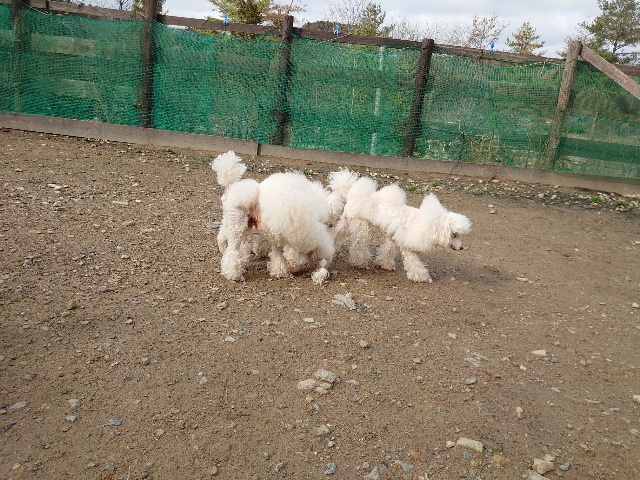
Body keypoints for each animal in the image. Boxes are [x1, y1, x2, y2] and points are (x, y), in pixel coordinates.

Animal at [211, 152, 357, 284]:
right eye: (329, 224)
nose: (331, 225)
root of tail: (231, 187)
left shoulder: (277, 233)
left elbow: (277, 253)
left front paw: (280, 271)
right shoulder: (297, 234)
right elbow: (294, 256)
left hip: (238, 222)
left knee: (225, 237)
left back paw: (226, 250)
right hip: (238, 225)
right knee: (232, 250)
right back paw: (234, 274)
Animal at [337, 176, 472, 282]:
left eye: (459, 235)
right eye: (454, 234)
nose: (461, 248)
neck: (425, 223)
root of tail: (351, 194)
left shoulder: (393, 237)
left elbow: (388, 250)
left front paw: (385, 265)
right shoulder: (408, 247)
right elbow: (414, 264)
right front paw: (423, 277)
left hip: (346, 223)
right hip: (361, 227)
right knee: (359, 245)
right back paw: (360, 263)